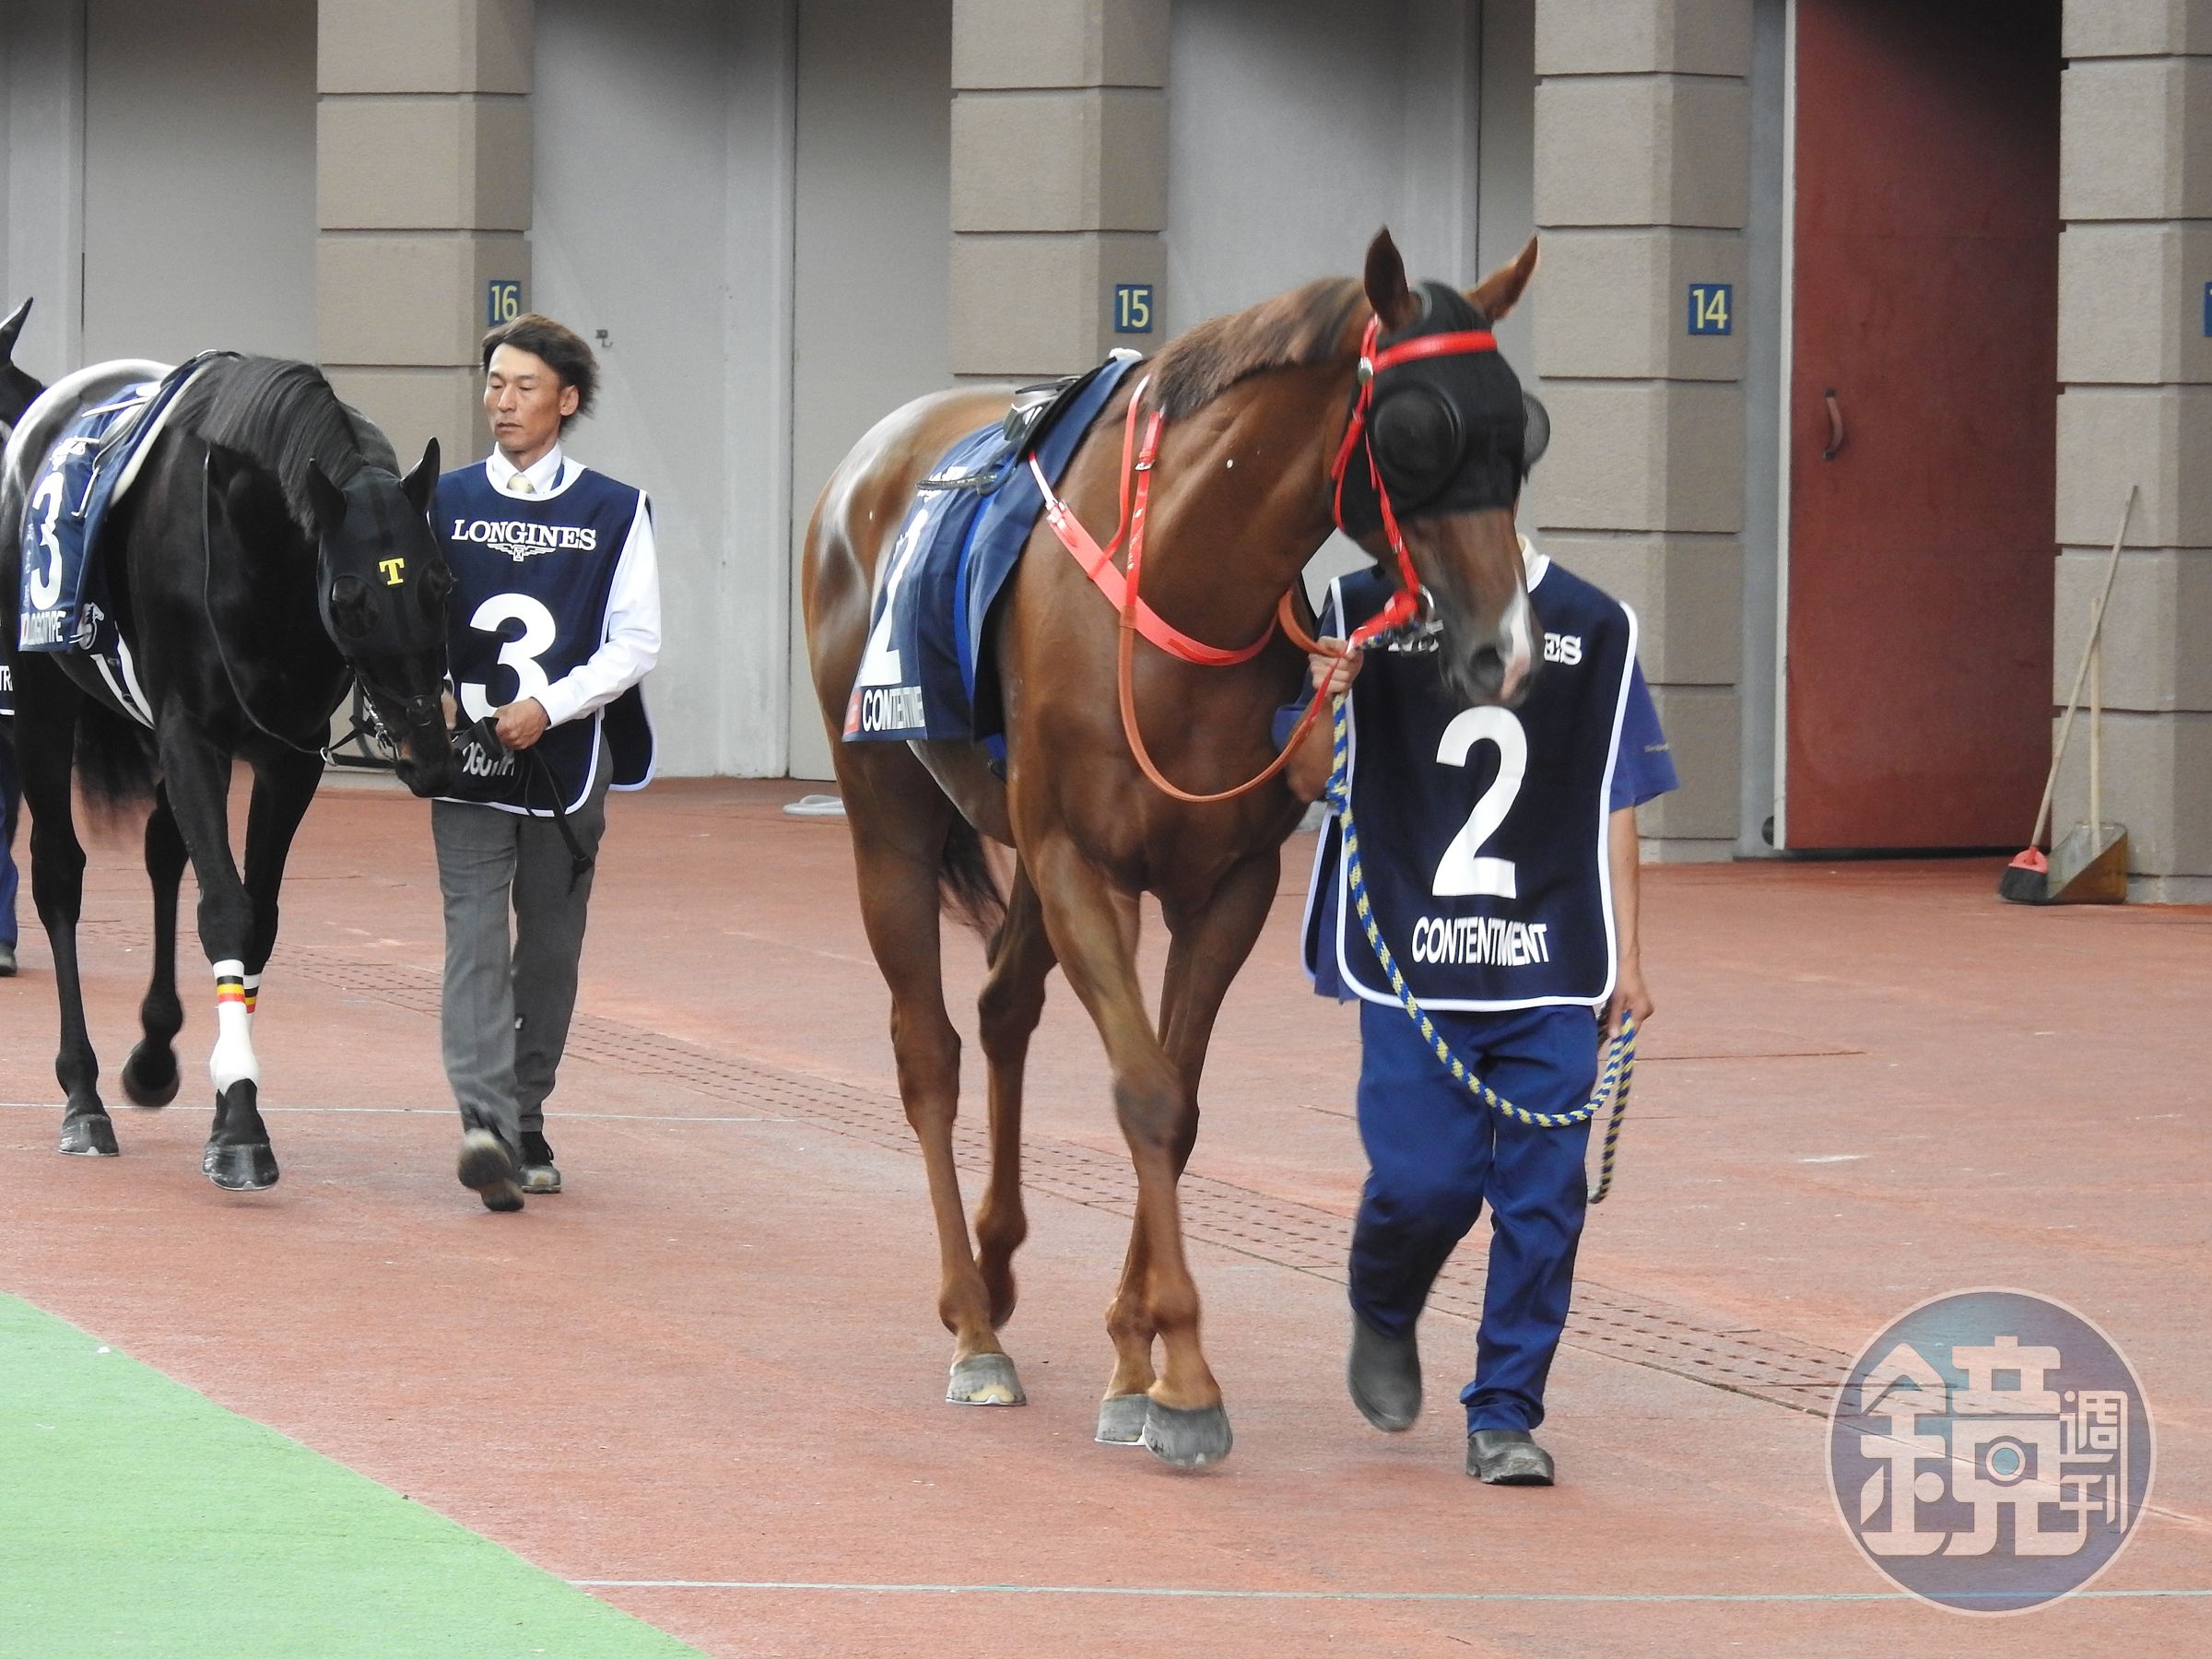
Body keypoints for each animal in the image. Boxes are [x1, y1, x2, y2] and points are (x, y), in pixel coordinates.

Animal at [1, 353, 458, 1190]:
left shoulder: (288, 757)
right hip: (42, 691)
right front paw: (242, 1121)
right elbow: (225, 908)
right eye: (350, 594)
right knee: (57, 871)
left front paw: (223, 1098)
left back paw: (153, 1053)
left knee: (162, 850)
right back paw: (82, 1096)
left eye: (439, 582)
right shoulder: (192, 734)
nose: (426, 749)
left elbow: (259, 917)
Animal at [802, 229, 1543, 1466]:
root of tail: (865, 463)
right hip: (887, 821)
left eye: (1522, 429)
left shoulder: (1224, 882)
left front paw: (1135, 1357)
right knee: (929, 1052)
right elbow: (1144, 1093)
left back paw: (1000, 1265)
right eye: (1417, 431)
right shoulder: (1080, 866)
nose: (1505, 651)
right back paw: (972, 1326)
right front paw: (1186, 1376)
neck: (1184, 578)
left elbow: (1181, 1103)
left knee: (1002, 1009)